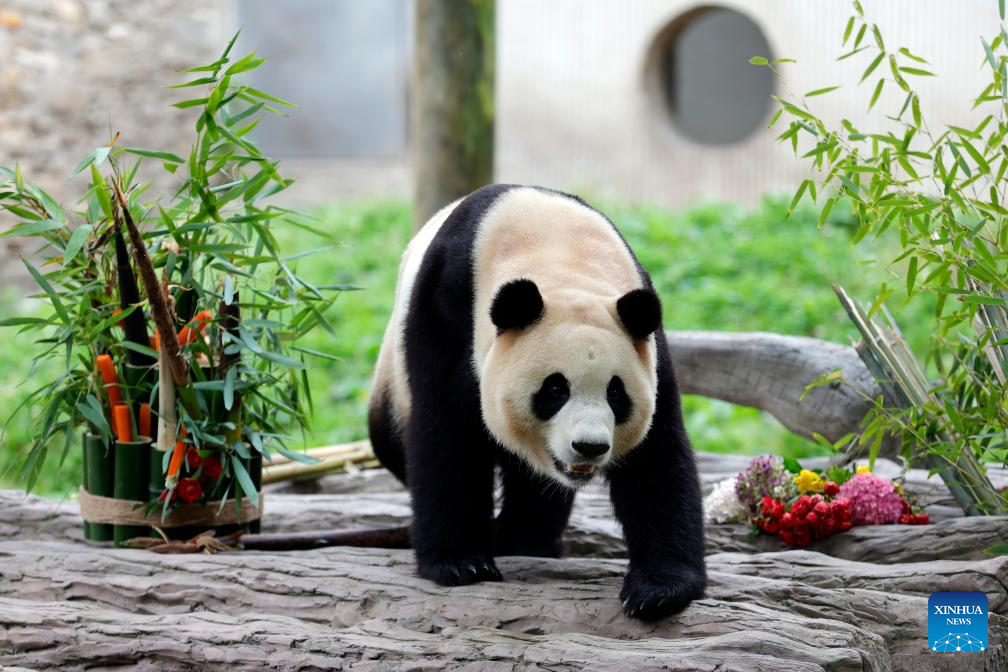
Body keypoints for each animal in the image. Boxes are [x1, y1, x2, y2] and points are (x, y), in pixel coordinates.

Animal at [366, 184, 705, 620]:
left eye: (616, 393)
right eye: (555, 390)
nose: (589, 447)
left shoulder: (647, 342)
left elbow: (656, 456)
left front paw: (659, 589)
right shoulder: (447, 308)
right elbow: (447, 435)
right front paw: (461, 563)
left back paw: (527, 541)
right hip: (391, 374)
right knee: (391, 439)